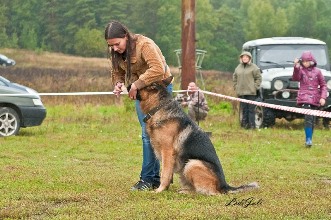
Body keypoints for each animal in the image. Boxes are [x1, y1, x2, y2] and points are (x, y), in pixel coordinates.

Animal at [130, 76, 260, 195]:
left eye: (139, 82)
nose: (128, 85)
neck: (159, 108)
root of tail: (225, 185)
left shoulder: (167, 152)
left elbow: (165, 174)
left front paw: (159, 190)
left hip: (192, 164)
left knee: (209, 192)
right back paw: (185, 191)